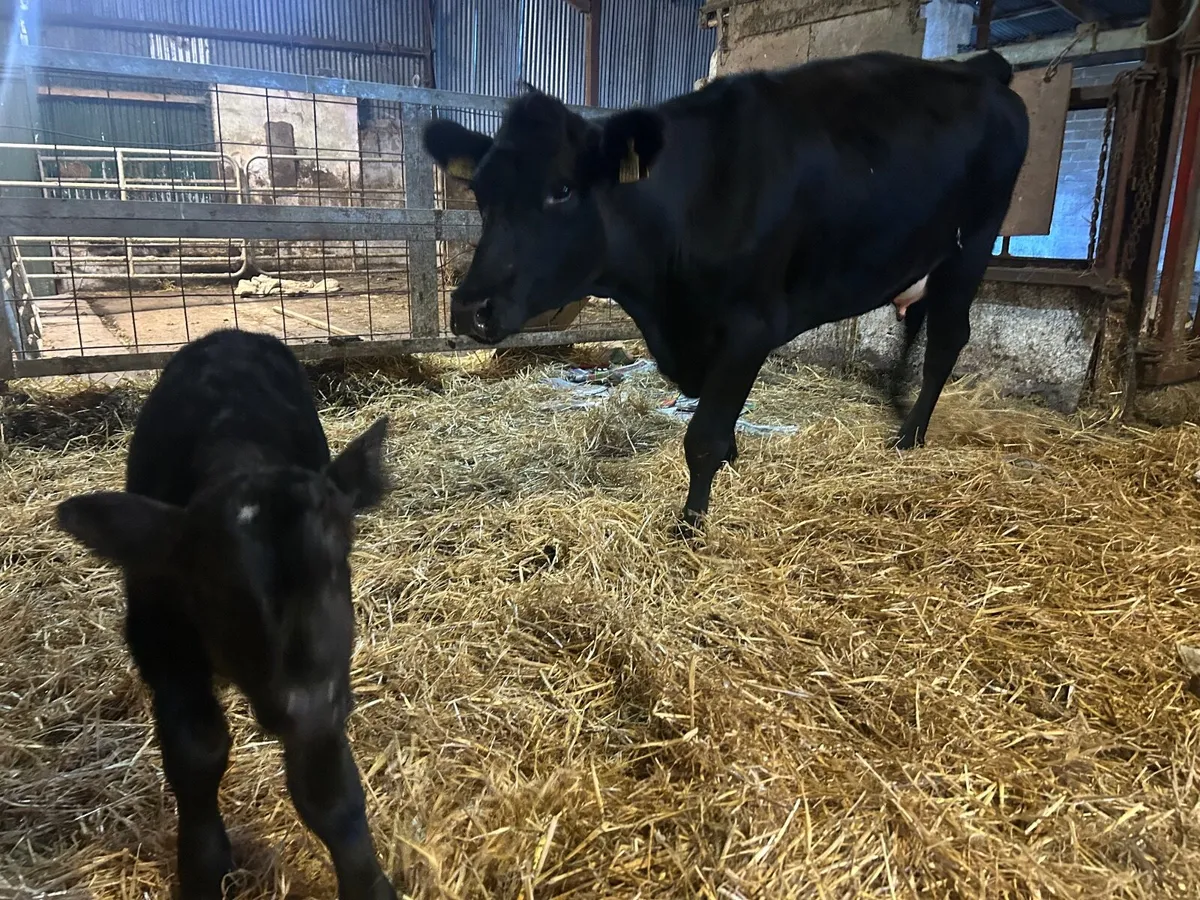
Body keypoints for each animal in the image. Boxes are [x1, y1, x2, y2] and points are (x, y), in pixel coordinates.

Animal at [55, 329, 398, 900]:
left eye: (336, 564)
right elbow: (197, 752)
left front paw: (367, 883)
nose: (301, 706)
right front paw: (202, 867)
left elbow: (325, 789)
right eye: (215, 589)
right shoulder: (158, 637)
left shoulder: (325, 686)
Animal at [422, 49, 1029, 531]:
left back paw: (909, 436)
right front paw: (732, 463)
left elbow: (702, 438)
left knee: (948, 339)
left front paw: (691, 523)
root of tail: (980, 70)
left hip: (971, 246)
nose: (470, 309)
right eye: (479, 193)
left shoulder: (748, 327)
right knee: (917, 321)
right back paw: (897, 405)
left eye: (562, 190)